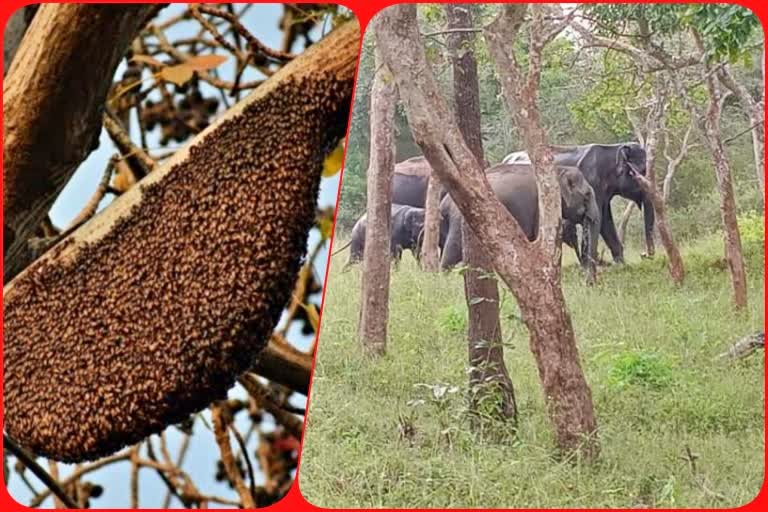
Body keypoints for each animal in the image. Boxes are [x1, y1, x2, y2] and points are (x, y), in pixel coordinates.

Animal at [504, 144, 656, 264]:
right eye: (641, 172)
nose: (644, 255)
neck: (613, 149)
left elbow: (605, 220)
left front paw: (621, 264)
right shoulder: (591, 182)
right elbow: (599, 221)